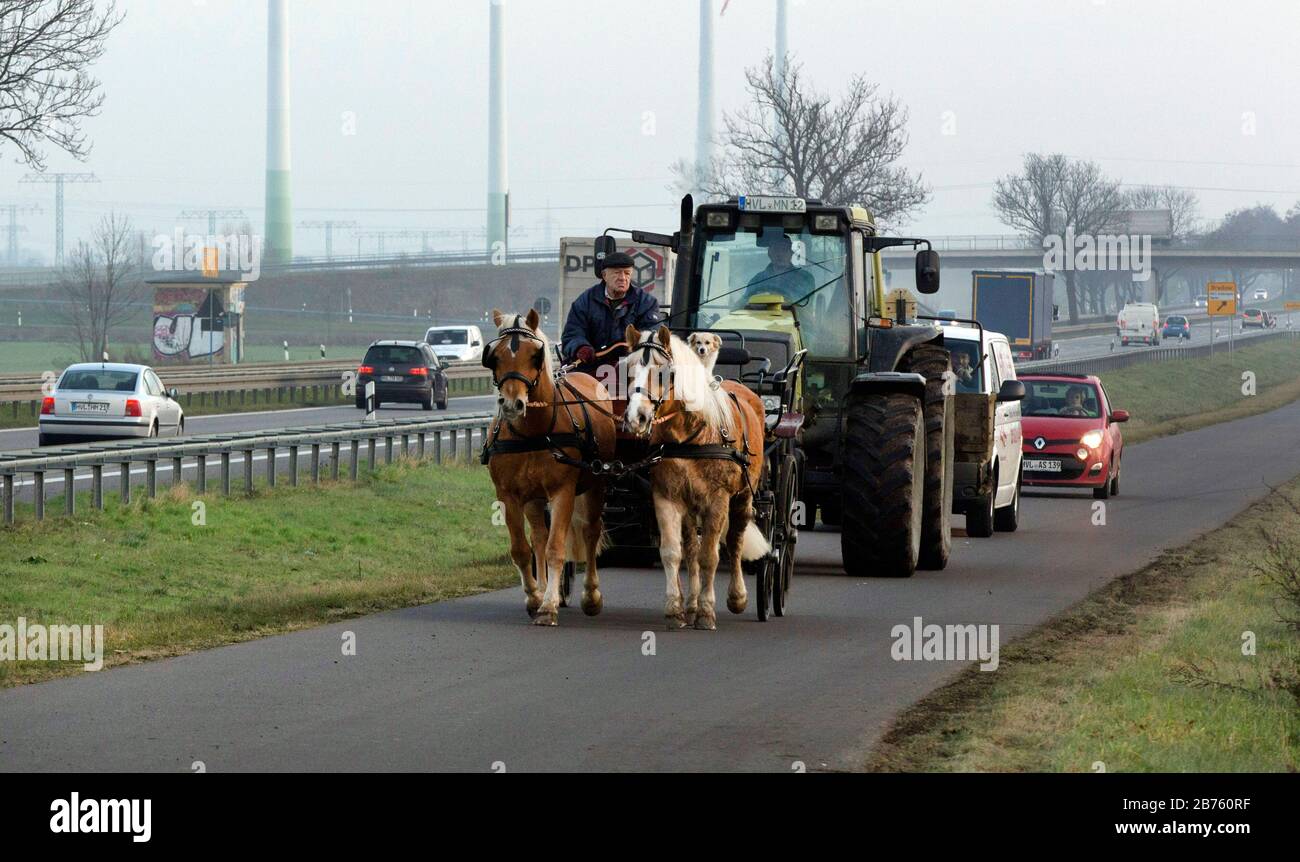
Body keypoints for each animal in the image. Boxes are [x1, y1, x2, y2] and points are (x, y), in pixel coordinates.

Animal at [480, 310, 616, 626]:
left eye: (534, 355)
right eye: (495, 356)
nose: (513, 404)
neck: (533, 432)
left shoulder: (563, 492)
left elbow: (556, 548)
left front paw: (549, 606)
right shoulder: (508, 494)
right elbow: (522, 549)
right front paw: (535, 597)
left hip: (596, 485)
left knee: (590, 532)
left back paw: (591, 596)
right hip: (534, 497)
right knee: (539, 537)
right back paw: (542, 589)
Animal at [621, 327, 764, 631]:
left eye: (663, 373)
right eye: (628, 370)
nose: (636, 418)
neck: (690, 435)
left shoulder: (717, 500)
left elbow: (710, 555)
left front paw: (707, 612)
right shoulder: (667, 497)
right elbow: (673, 553)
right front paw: (676, 610)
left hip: (744, 496)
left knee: (735, 541)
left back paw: (737, 597)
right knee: (691, 548)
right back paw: (691, 605)